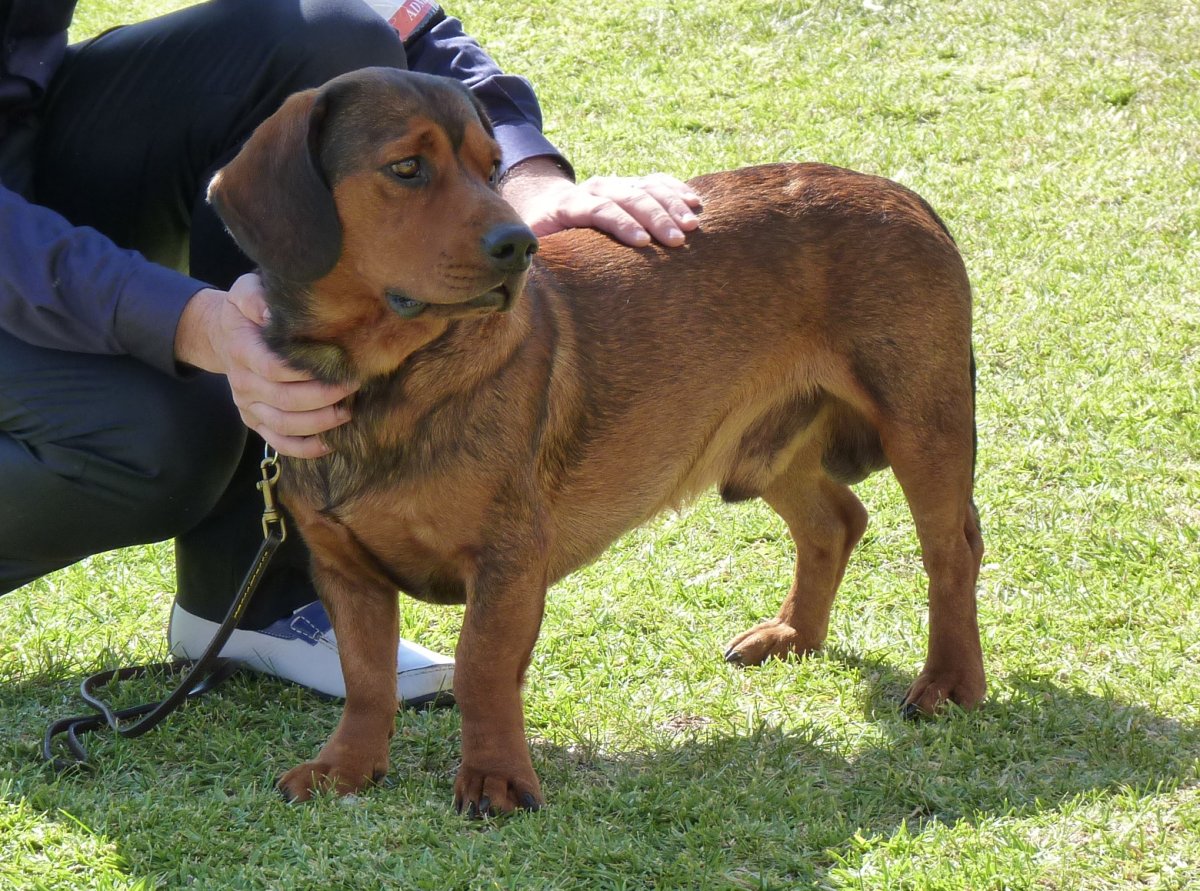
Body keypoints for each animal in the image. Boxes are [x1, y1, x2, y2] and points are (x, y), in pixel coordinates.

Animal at [208, 66, 984, 811]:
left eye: (492, 167)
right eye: (406, 168)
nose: (518, 245)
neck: (384, 383)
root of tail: (903, 195)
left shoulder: (508, 561)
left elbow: (482, 668)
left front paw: (495, 780)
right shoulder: (345, 569)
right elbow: (368, 679)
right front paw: (345, 769)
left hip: (923, 425)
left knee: (952, 551)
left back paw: (948, 683)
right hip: (768, 449)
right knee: (835, 521)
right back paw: (794, 636)